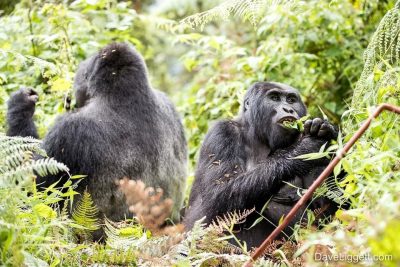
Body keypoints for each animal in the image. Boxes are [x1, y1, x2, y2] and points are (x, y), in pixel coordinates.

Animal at [183, 82, 340, 249]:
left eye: (291, 100)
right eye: (274, 98)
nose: (288, 109)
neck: (257, 136)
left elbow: (326, 212)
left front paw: (326, 132)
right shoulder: (221, 133)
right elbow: (217, 198)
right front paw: (303, 149)